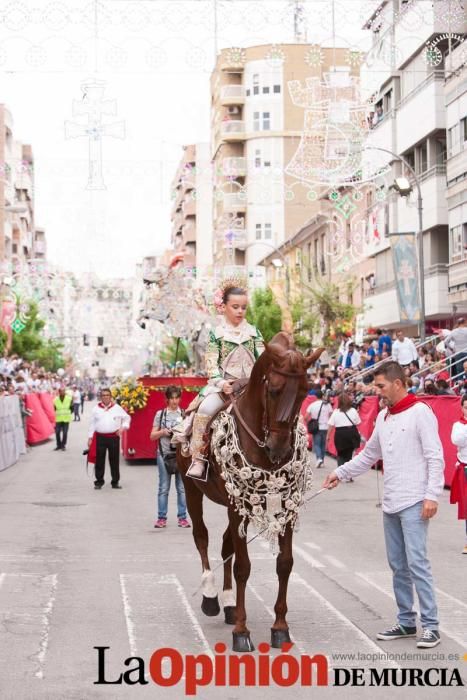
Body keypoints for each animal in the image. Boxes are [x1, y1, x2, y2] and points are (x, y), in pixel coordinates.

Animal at [177, 332, 324, 652]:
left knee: (225, 546)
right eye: (274, 389)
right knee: (202, 537)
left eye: (305, 391)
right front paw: (242, 633)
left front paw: (280, 628)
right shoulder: (236, 508)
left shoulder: (284, 506)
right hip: (192, 488)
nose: (278, 449)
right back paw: (211, 597)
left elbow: (284, 564)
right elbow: (243, 567)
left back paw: (230, 604)